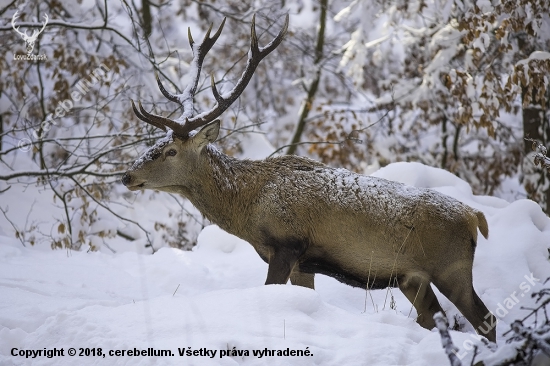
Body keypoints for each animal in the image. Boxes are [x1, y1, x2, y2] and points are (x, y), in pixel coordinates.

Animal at [122, 15, 500, 344]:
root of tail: (475, 217)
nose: (127, 176)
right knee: (433, 319)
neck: (249, 208)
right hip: (412, 278)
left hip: (451, 268)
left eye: (170, 151)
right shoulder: (305, 262)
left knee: (486, 318)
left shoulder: (288, 244)